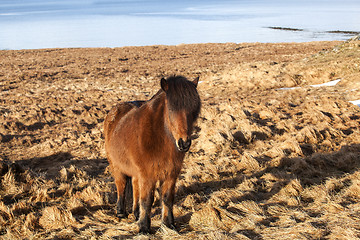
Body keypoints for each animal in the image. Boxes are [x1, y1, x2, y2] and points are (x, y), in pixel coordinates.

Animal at [104, 75, 201, 232]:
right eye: (171, 108)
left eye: (193, 110)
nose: (184, 143)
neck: (160, 138)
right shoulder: (147, 175)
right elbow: (147, 200)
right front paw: (144, 228)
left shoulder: (171, 174)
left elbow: (167, 198)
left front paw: (169, 224)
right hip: (116, 167)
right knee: (121, 185)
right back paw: (120, 212)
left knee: (135, 186)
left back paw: (136, 213)